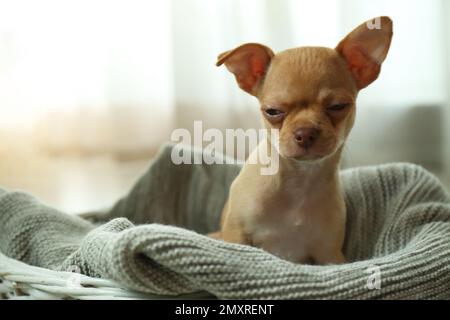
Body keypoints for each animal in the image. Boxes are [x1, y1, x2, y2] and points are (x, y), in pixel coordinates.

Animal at [212, 16, 394, 264]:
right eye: (272, 111)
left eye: (338, 106)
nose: (305, 132)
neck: (300, 179)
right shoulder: (236, 236)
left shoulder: (329, 254)